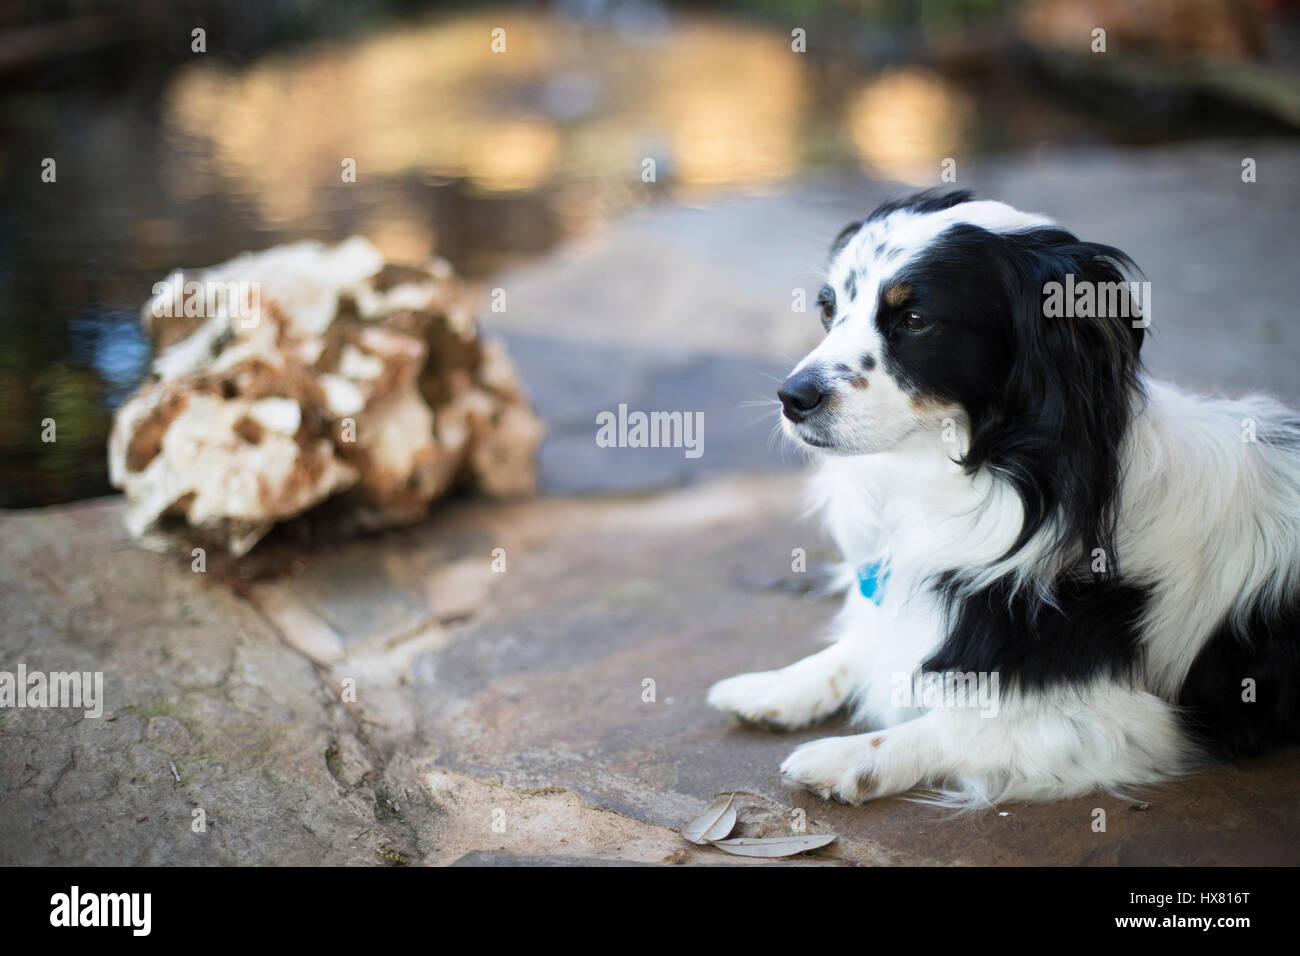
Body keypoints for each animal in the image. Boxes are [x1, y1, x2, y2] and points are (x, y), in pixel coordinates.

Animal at [712, 191, 1300, 806]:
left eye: (915, 320)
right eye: (829, 312)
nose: (791, 397)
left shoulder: (1133, 722)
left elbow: (959, 724)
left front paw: (843, 757)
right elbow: (868, 643)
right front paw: (777, 686)